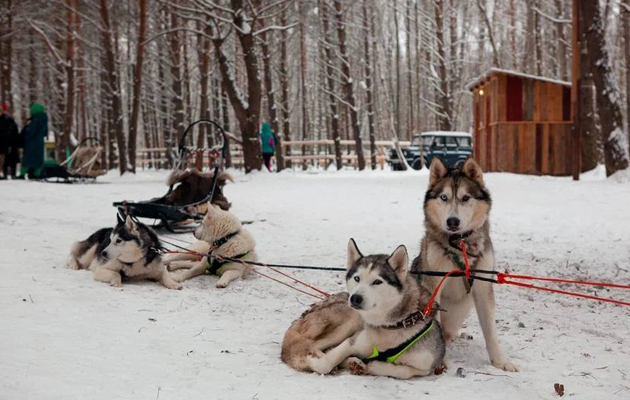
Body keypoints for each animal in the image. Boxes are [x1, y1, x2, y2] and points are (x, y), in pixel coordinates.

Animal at [308, 239, 446, 380]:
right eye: (357, 278)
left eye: (377, 282)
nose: (355, 298)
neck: (393, 325)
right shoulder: (353, 342)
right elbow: (326, 363)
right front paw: (313, 362)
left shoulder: (426, 366)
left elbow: (404, 372)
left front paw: (375, 365)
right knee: (313, 345)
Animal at [414, 157, 520, 372]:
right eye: (444, 197)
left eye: (465, 198)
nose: (452, 221)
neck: (460, 245)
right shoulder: (434, 285)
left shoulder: (483, 287)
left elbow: (491, 331)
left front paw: (500, 361)